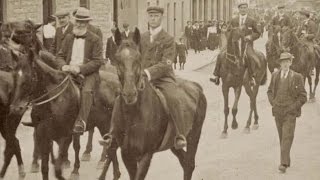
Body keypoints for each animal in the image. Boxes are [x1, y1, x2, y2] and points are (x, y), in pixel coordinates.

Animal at [8, 27, 122, 180]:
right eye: (14, 76)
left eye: (29, 77)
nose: (16, 108)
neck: (54, 101)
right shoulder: (43, 134)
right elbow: (45, 167)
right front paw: (37, 163)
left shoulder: (66, 136)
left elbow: (64, 159)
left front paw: (73, 168)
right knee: (111, 149)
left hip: (106, 125)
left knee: (110, 147)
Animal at [100, 28, 208, 180]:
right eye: (117, 59)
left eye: (138, 58)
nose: (129, 93)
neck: (132, 114)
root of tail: (196, 87)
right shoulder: (126, 154)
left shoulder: (146, 155)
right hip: (173, 144)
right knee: (185, 163)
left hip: (194, 135)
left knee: (189, 163)